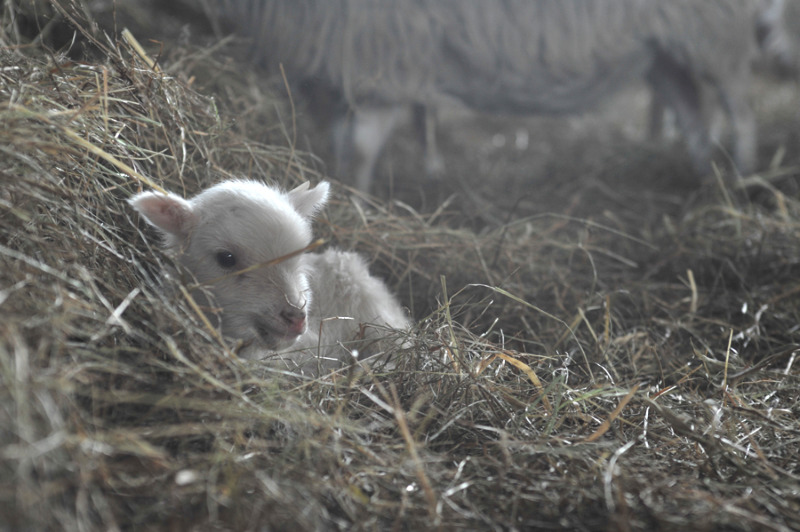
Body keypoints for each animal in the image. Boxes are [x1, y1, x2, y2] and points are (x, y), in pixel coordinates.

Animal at [208, 0, 792, 191]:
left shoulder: (386, 60)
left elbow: (361, 149)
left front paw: (358, 200)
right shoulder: (344, 67)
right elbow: (339, 141)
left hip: (714, 34)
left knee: (740, 111)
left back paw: (740, 178)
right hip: (663, 52)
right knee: (695, 117)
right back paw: (699, 176)